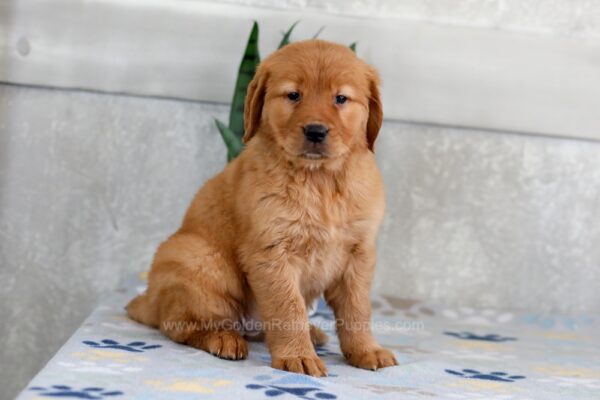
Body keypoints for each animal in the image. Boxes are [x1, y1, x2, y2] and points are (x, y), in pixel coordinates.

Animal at [127, 39, 394, 376]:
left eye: (341, 98)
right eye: (293, 95)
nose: (315, 131)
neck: (318, 180)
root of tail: (149, 300)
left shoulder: (359, 253)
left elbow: (357, 309)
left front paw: (366, 350)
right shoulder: (271, 251)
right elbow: (288, 307)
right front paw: (298, 356)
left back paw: (311, 333)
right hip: (200, 259)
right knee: (180, 325)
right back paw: (224, 338)